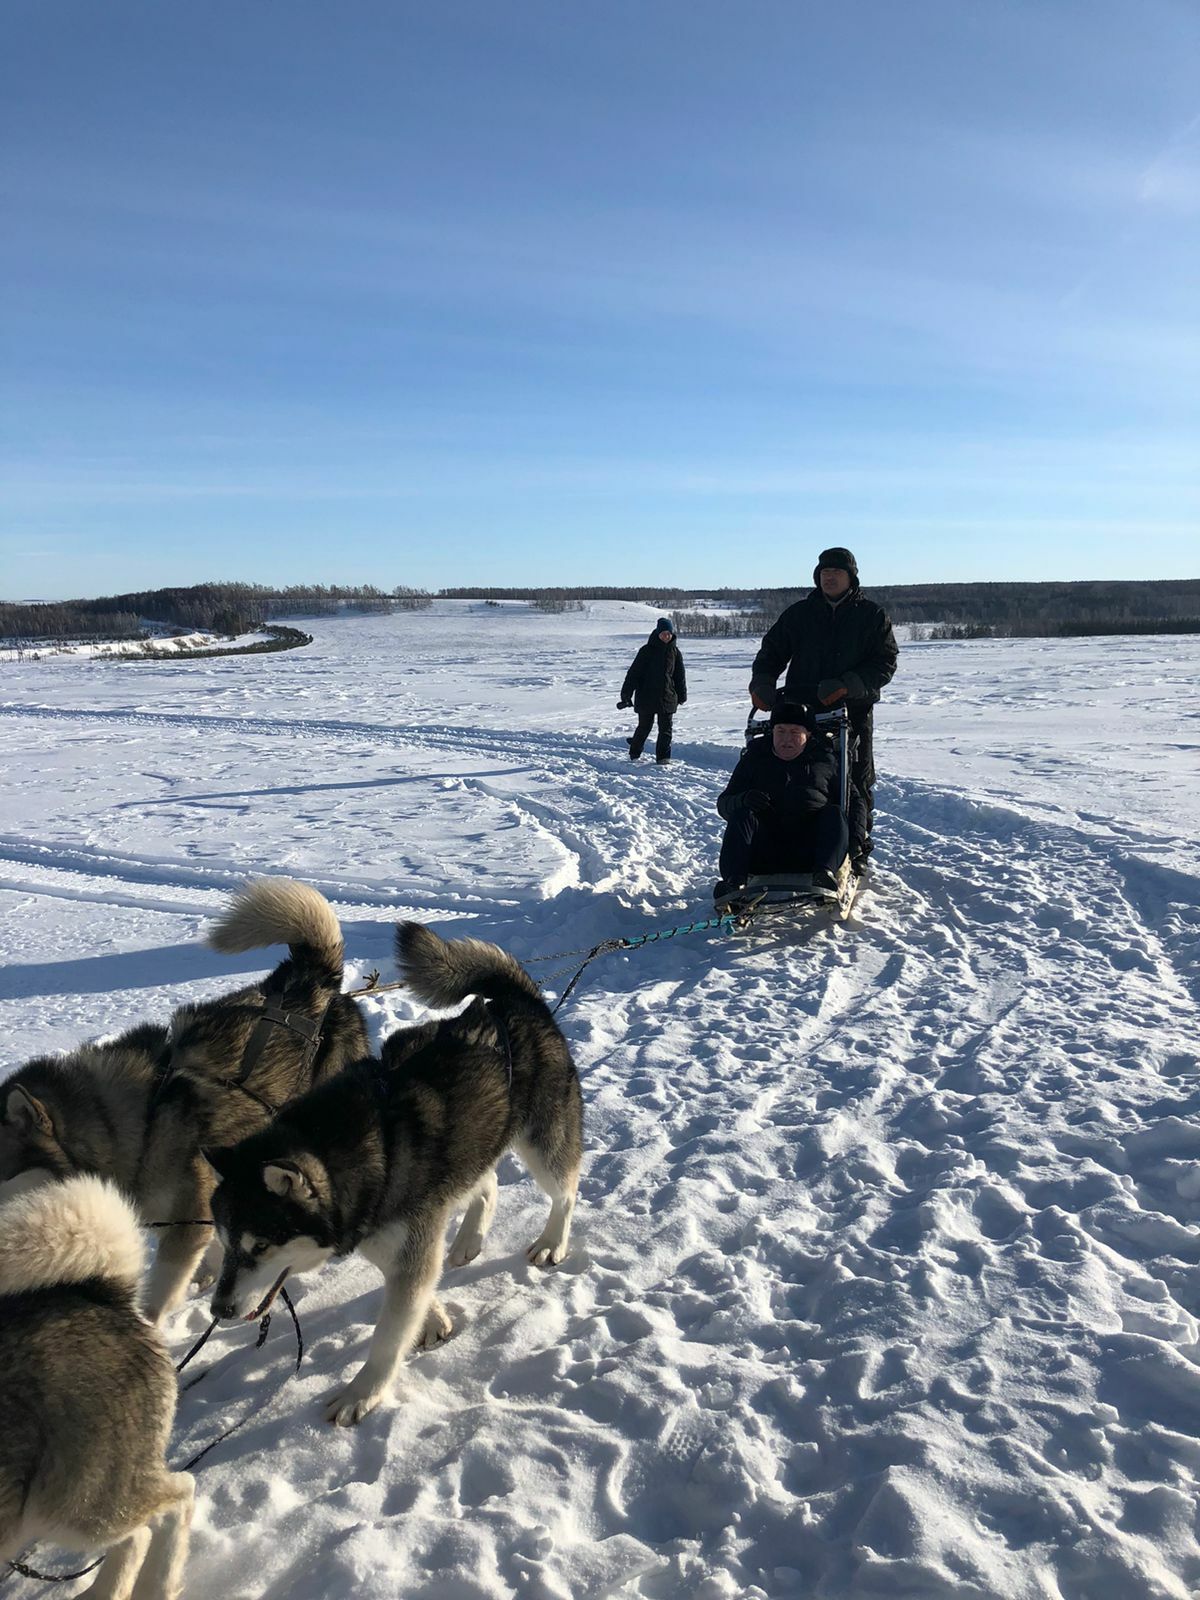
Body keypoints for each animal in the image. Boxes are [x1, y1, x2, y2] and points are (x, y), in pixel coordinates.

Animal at [209, 928, 585, 1427]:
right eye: (225, 1242)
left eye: (261, 1247)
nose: (219, 1309)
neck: (358, 1152)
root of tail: (516, 1000)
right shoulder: (392, 1239)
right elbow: (417, 1291)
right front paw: (435, 1319)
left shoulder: (408, 1244)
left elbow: (388, 1336)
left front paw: (362, 1393)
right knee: (485, 1184)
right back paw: (468, 1239)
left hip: (543, 1143)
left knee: (565, 1191)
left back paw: (552, 1242)